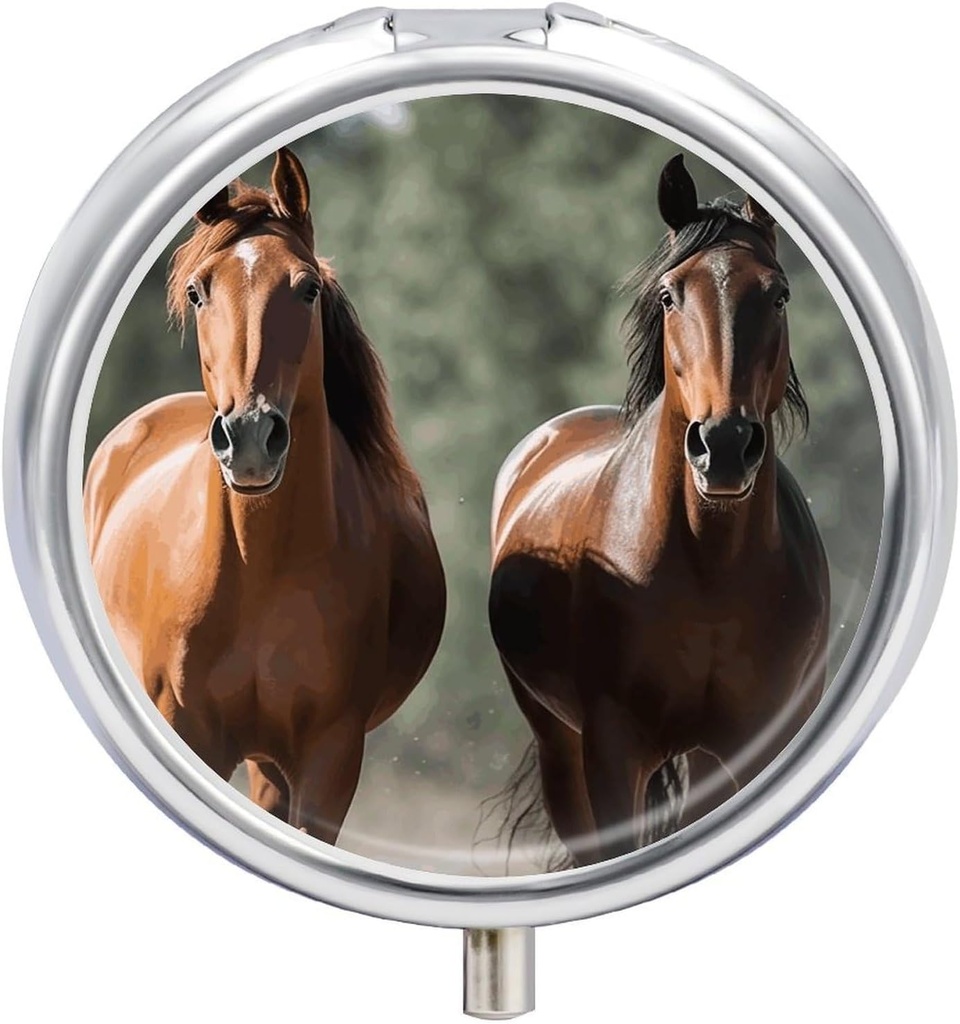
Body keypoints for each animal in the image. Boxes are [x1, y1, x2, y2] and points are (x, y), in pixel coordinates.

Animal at [84, 148, 446, 845]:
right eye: (198, 291)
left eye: (307, 288)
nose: (250, 436)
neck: (258, 568)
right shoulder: (188, 730)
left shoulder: (329, 757)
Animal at [488, 154, 830, 868]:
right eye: (672, 295)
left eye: (778, 294)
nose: (724, 445)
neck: (709, 567)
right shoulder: (613, 749)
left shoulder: (748, 743)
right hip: (558, 743)